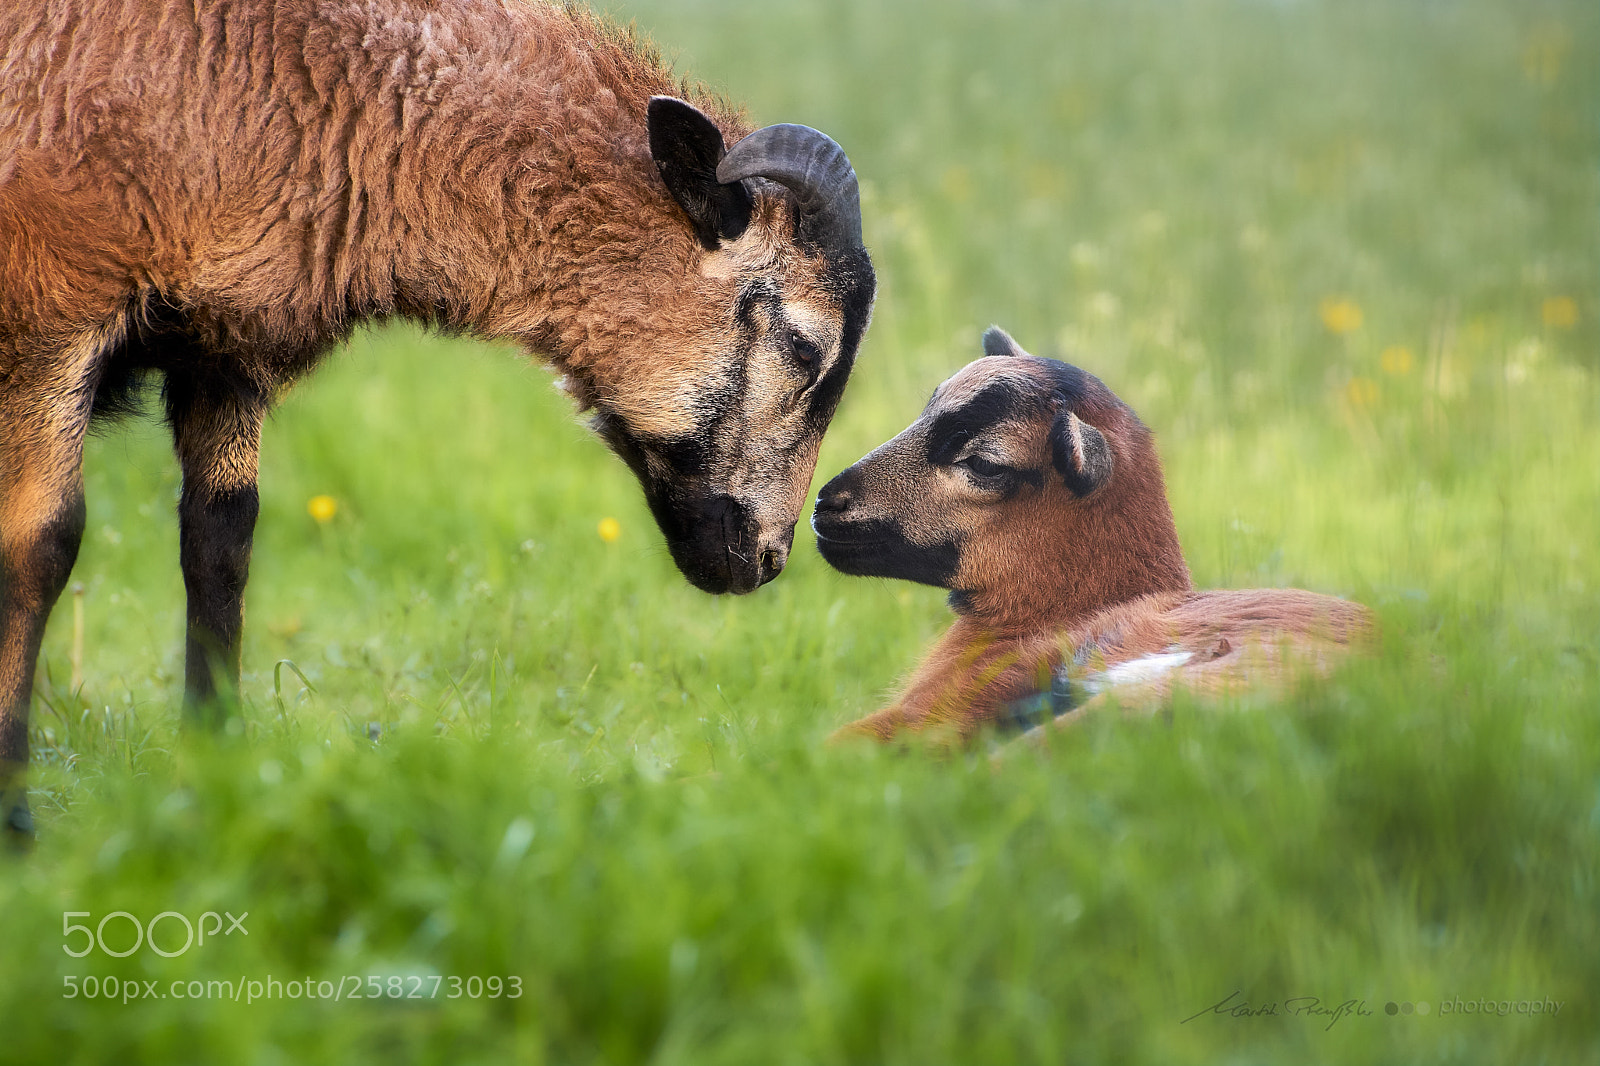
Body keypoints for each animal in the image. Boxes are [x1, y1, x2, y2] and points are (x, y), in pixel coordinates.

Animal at [0, 0, 876, 841]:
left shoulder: (222, 346)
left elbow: (219, 543)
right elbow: (40, 546)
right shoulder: (49, 309)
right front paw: (18, 827)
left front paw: (212, 771)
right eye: (805, 346)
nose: (767, 560)